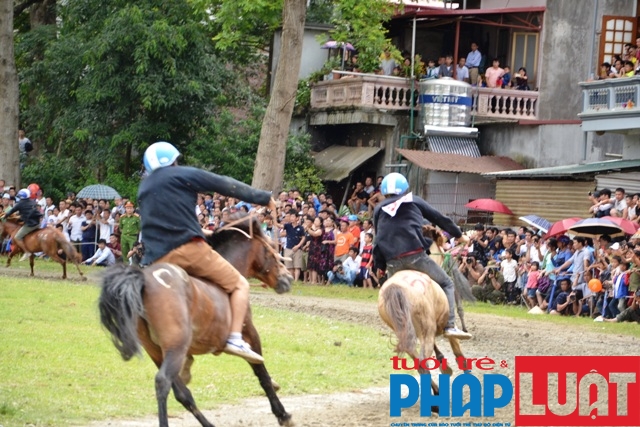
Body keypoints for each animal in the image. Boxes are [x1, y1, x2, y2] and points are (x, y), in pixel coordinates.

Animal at [98, 216, 296, 427]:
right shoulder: (249, 333)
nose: (288, 278)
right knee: (163, 382)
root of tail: (143, 282)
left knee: (182, 393)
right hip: (175, 347)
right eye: (271, 250)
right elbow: (261, 373)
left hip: (156, 351)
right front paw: (282, 414)